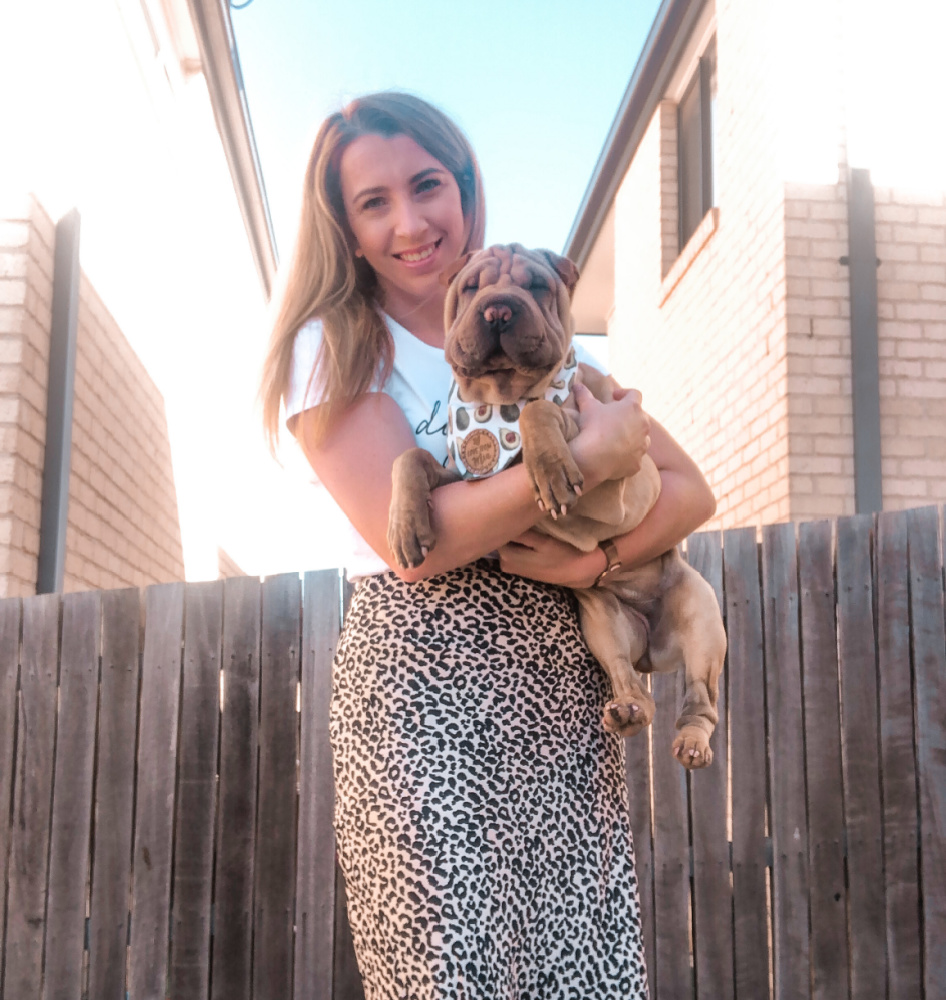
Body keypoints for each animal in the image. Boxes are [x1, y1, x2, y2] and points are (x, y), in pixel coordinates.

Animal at [388, 240, 728, 764]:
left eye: (537, 286)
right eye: (471, 287)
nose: (499, 309)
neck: (498, 401)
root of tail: (653, 651)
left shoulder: (617, 472)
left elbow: (540, 410)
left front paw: (548, 467)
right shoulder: (465, 478)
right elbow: (410, 458)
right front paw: (405, 524)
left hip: (701, 615)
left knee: (701, 698)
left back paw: (692, 741)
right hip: (604, 625)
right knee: (633, 685)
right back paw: (628, 712)